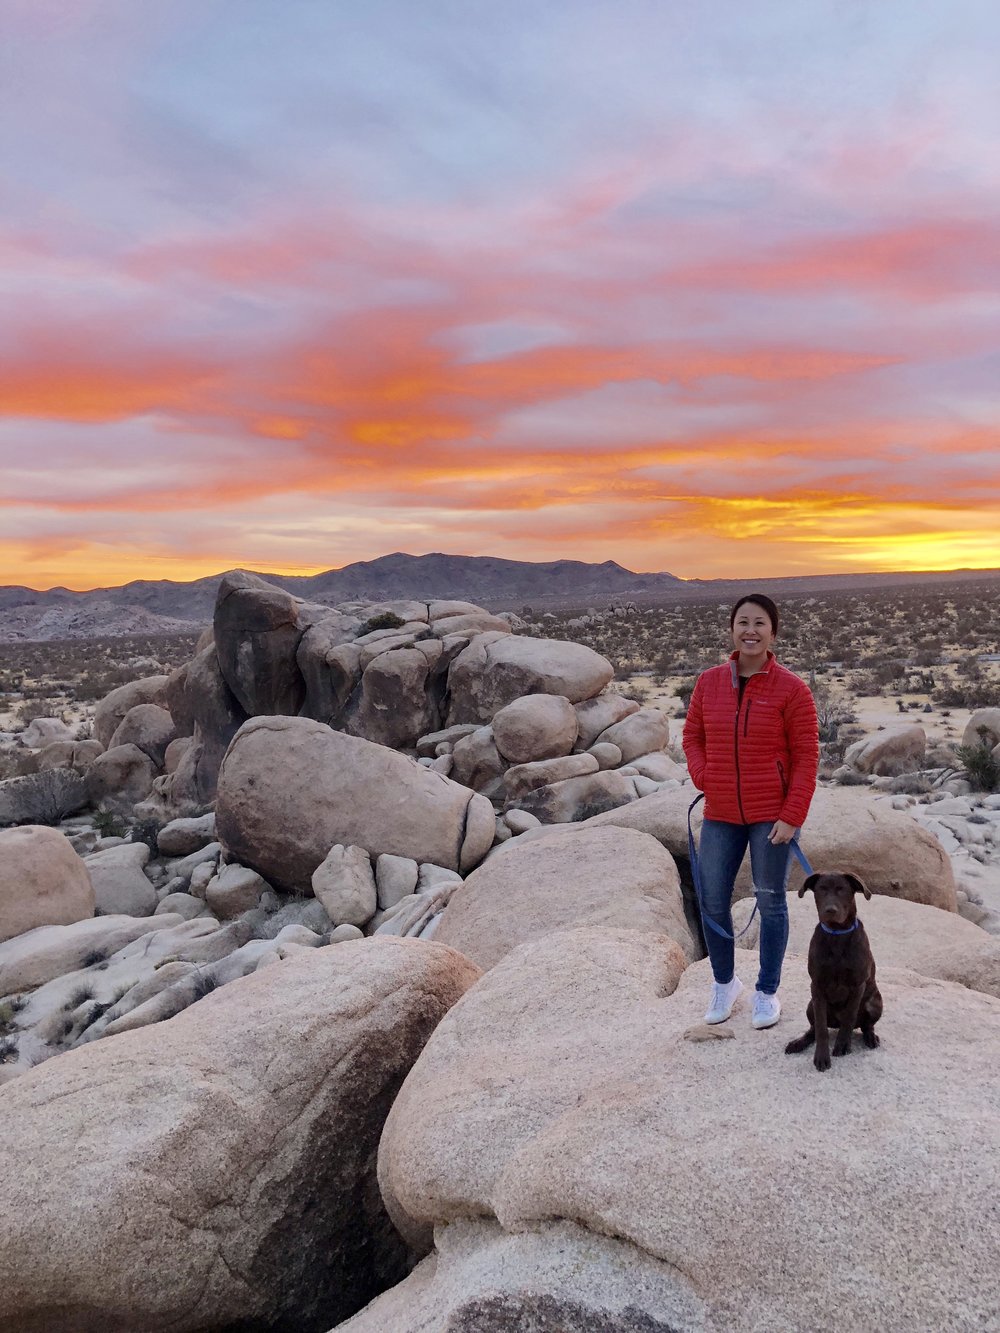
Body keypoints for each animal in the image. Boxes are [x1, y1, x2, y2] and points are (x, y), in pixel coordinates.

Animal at [789, 874, 880, 1071]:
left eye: (842, 890)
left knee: (866, 1026)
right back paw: (798, 1042)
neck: (837, 934)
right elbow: (821, 1028)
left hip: (875, 1003)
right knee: (813, 1029)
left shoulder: (857, 985)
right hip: (811, 1005)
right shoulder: (816, 986)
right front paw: (821, 1056)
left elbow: (849, 1018)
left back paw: (871, 1038)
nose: (830, 910)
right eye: (821, 889)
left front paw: (842, 1045)